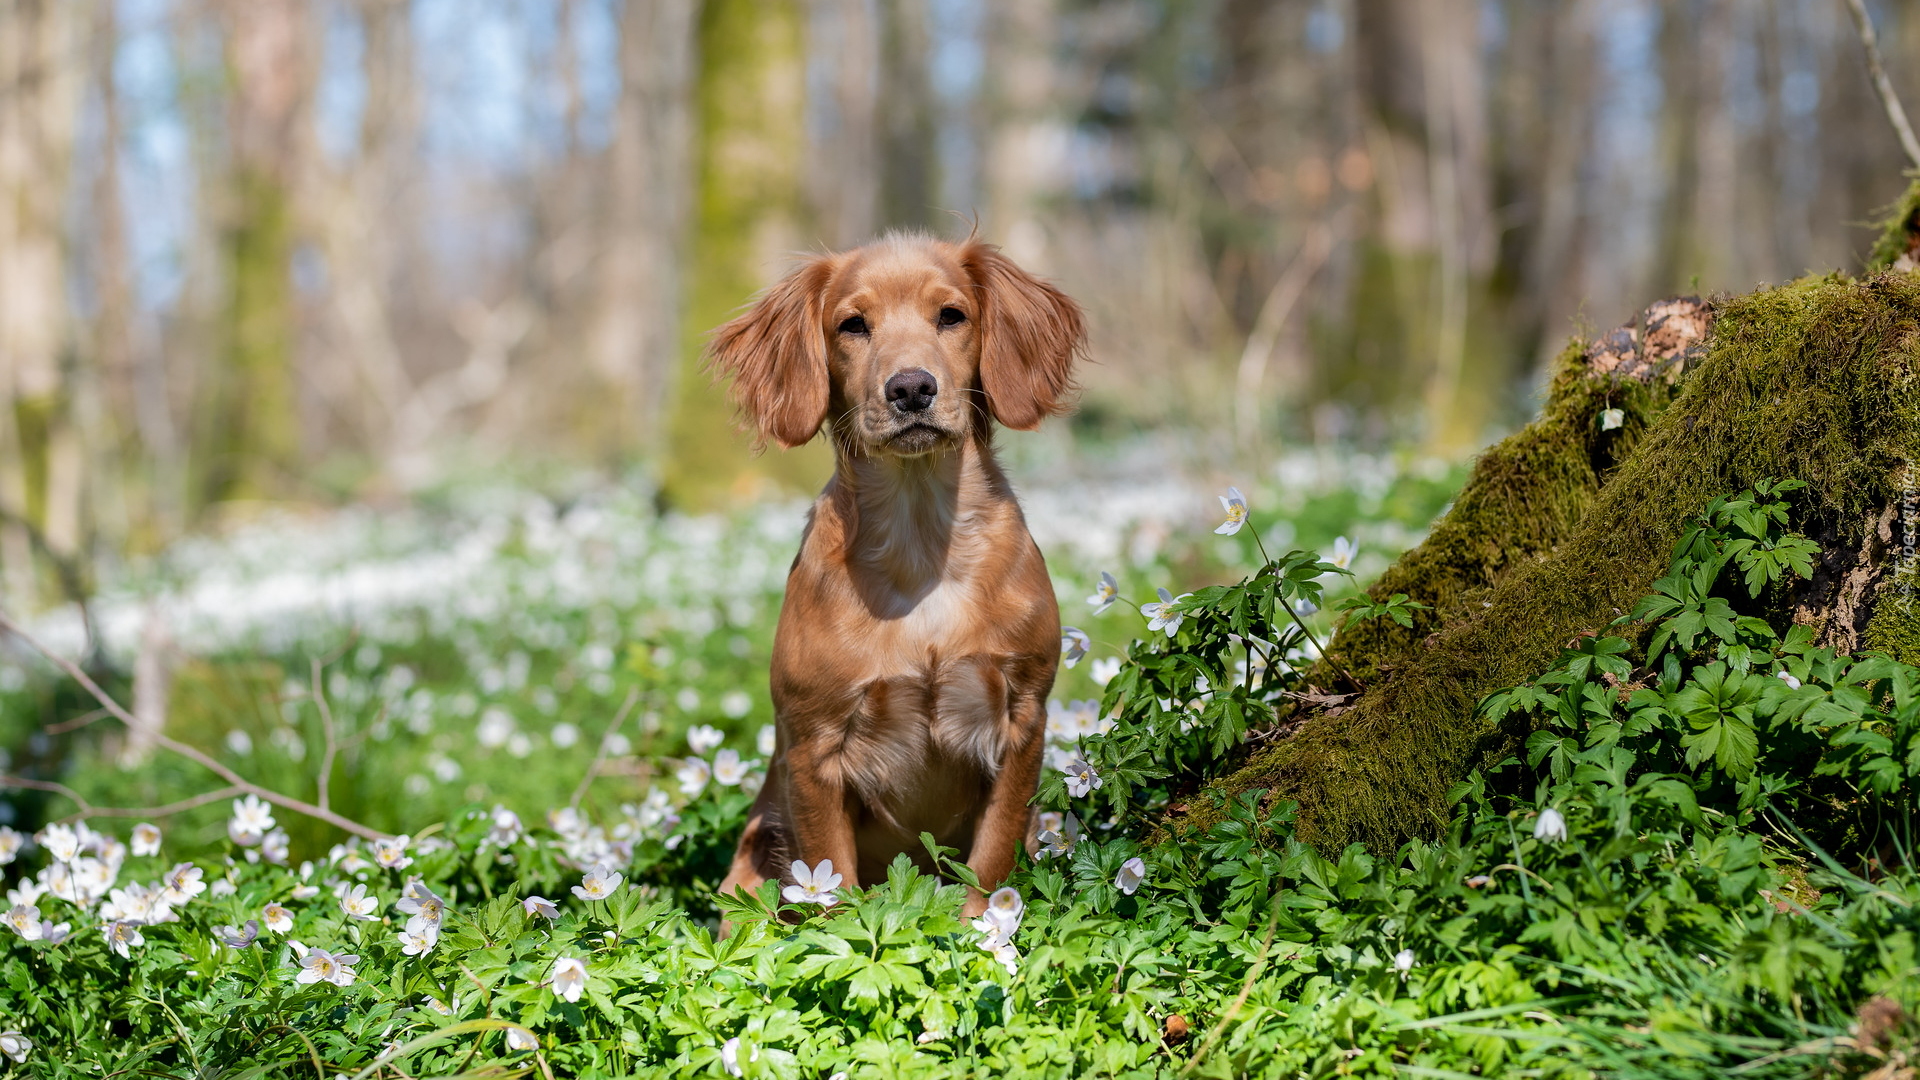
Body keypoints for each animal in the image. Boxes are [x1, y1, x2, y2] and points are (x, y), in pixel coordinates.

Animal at [714, 231, 1090, 910]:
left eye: (952, 315)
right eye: (852, 325)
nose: (911, 388)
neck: (921, 547)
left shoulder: (1023, 717)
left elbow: (991, 860)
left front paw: (985, 931)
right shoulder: (813, 748)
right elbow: (830, 882)